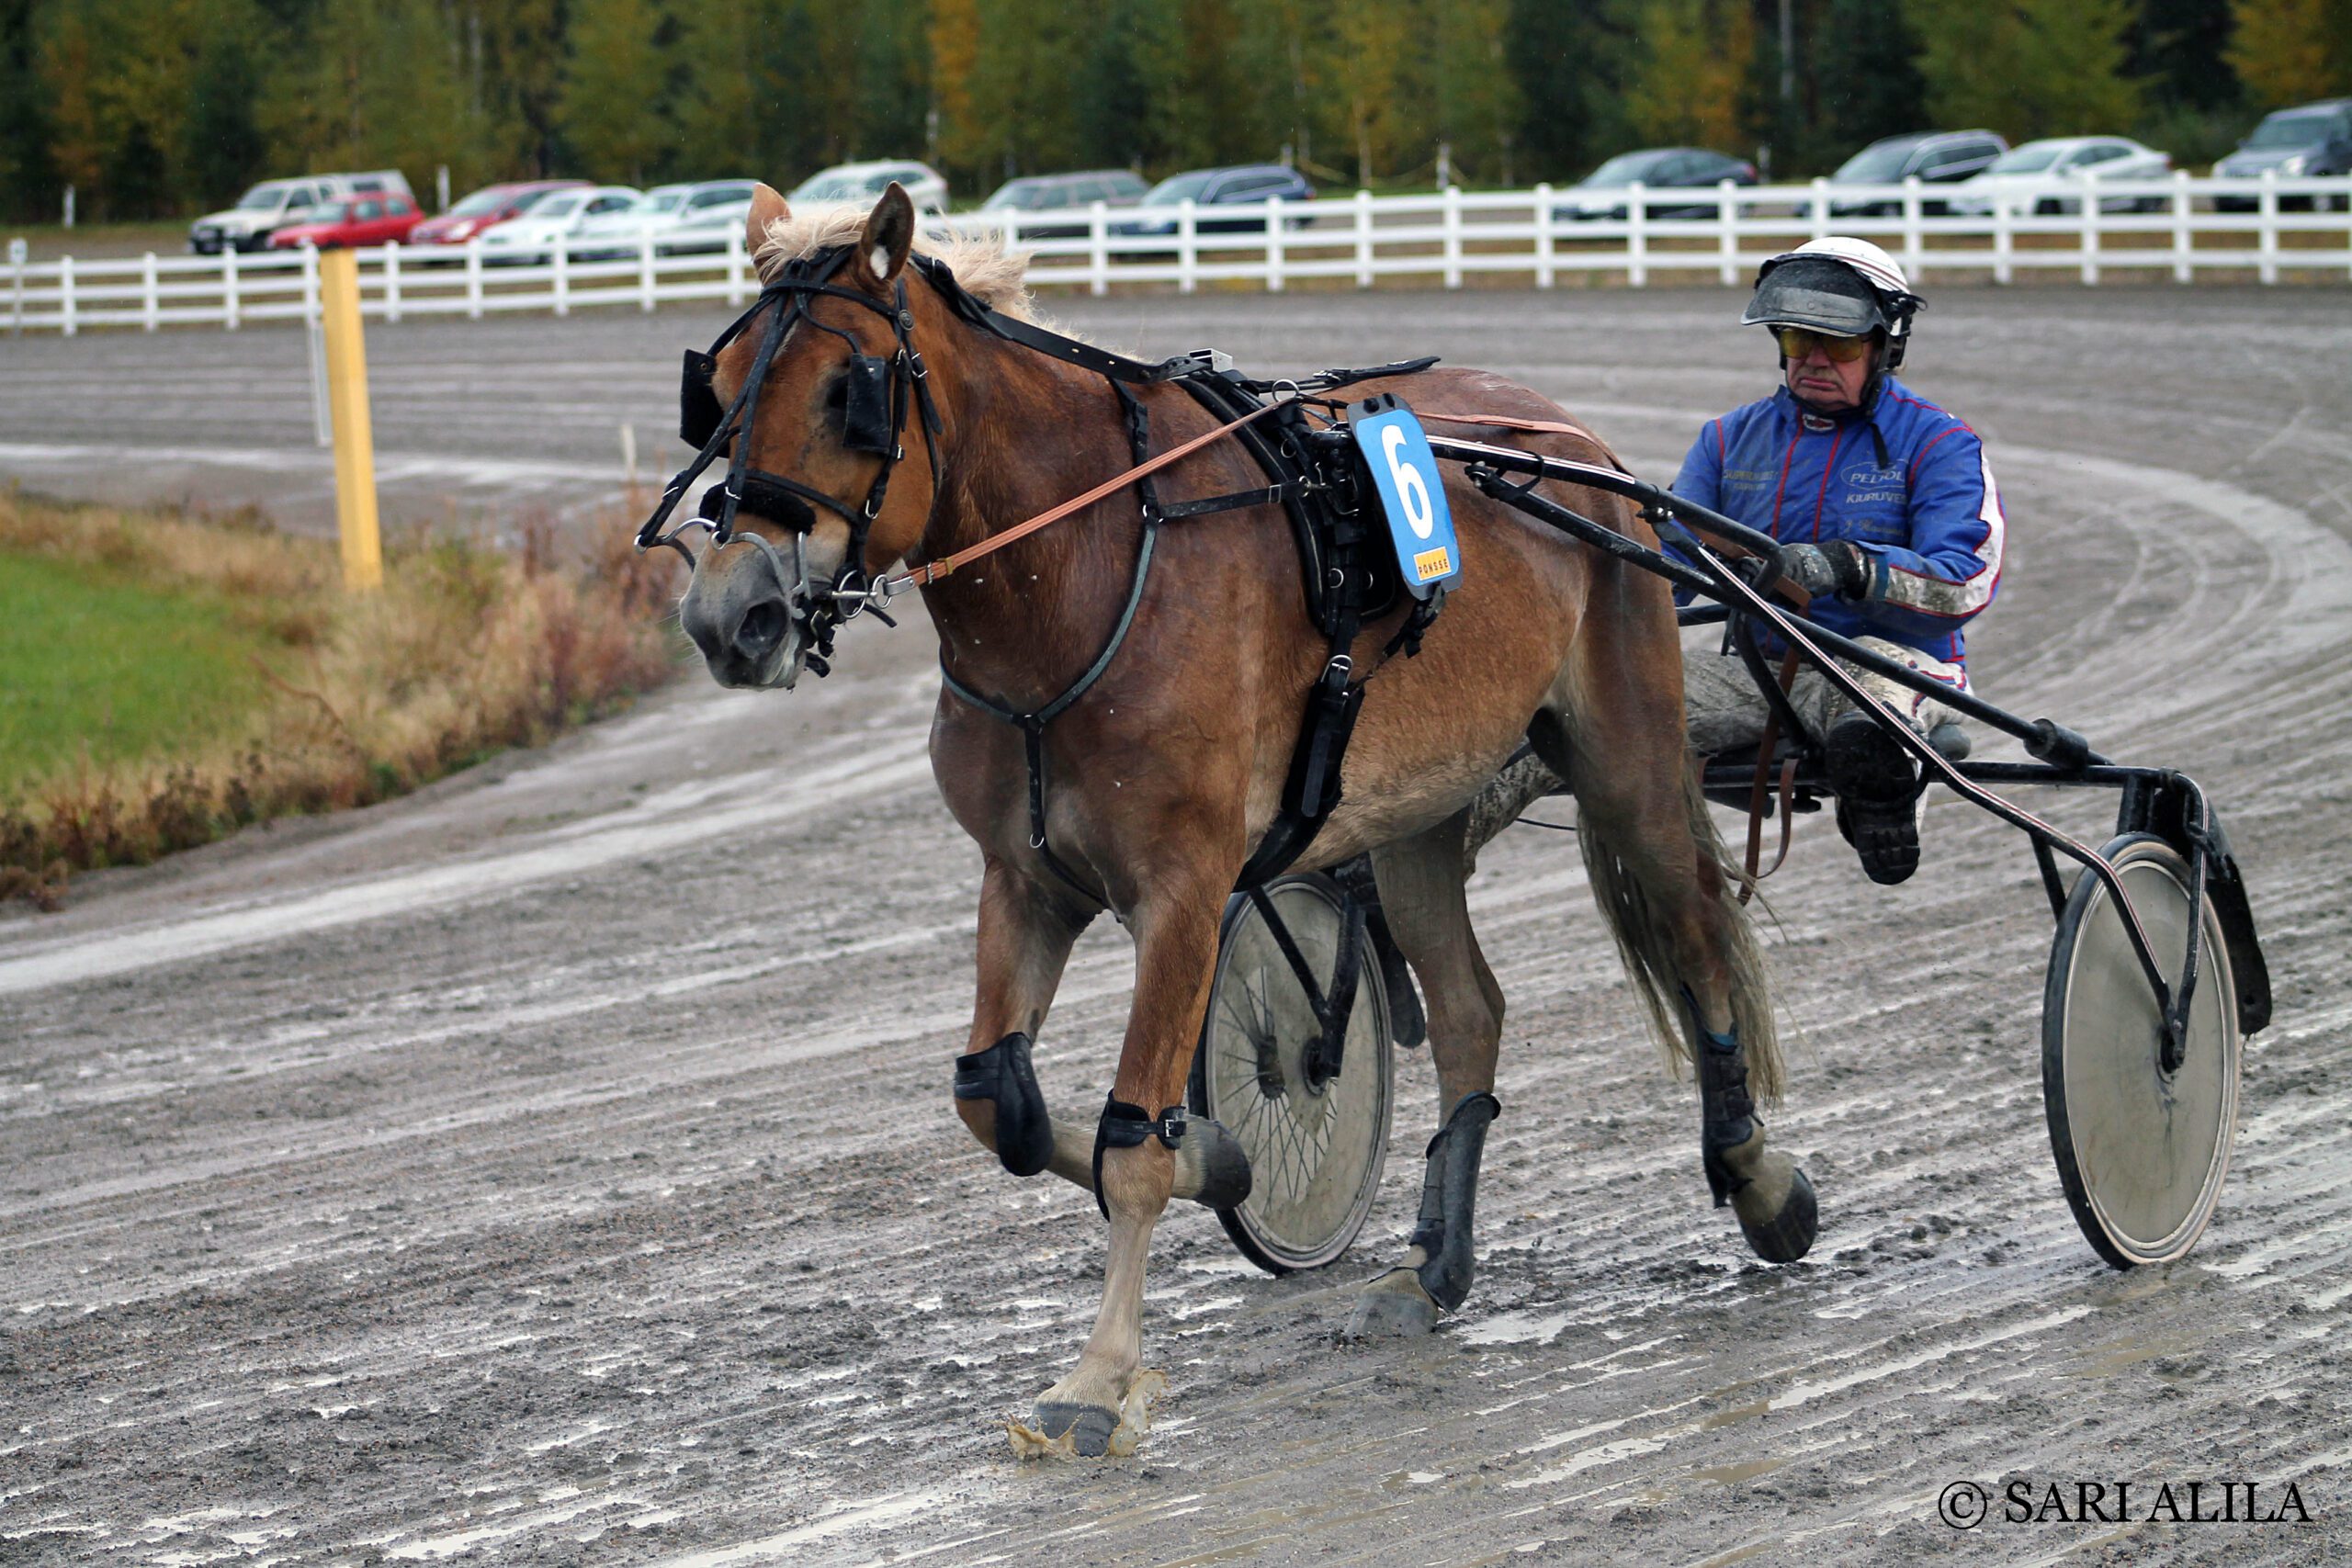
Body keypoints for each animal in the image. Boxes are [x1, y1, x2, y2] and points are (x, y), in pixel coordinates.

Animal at [662, 183, 1811, 1456]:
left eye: (846, 386)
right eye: (716, 388)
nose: (731, 614)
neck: (1082, 571)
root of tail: (1569, 439)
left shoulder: (1185, 885)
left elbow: (1130, 1142)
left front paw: (1097, 1379)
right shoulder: (1025, 877)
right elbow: (995, 1102)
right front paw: (1215, 1157)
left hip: (1628, 756)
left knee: (1694, 930)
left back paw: (1759, 1180)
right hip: (1415, 813)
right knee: (1472, 1009)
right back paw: (1433, 1270)